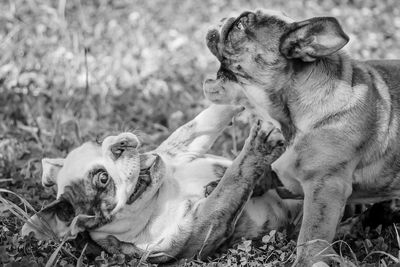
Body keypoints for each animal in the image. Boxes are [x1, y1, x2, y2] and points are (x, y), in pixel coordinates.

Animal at [21, 104, 302, 264]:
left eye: (98, 140)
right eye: (102, 178)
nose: (119, 145)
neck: (159, 197)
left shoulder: (181, 148)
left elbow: (200, 123)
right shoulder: (207, 222)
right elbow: (233, 179)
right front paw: (258, 148)